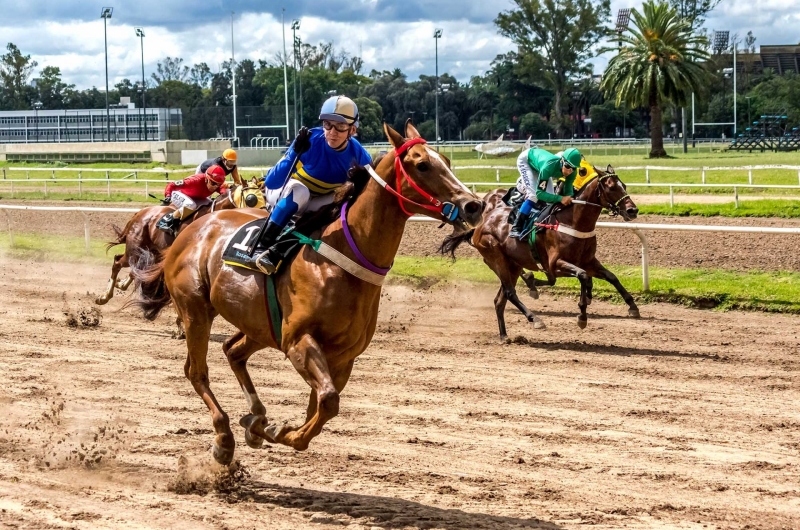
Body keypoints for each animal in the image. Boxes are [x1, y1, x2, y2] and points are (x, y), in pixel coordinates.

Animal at [129, 120, 484, 462]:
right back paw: (224, 437)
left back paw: (256, 416)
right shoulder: (299, 341)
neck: (343, 257)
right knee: (196, 371)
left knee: (232, 351)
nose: (473, 205)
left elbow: (322, 407)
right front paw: (275, 430)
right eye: (422, 165)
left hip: (260, 325)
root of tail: (190, 230)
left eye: (447, 160)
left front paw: (270, 429)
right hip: (196, 310)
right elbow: (327, 401)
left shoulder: (342, 357)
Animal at [440, 165, 640, 338]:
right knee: (510, 293)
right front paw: (582, 316)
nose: (633, 210)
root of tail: (480, 226)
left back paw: (504, 335)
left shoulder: (588, 261)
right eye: (611, 187)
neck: (572, 222)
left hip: (512, 264)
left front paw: (632, 306)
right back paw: (535, 318)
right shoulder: (555, 265)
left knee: (500, 299)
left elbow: (611, 277)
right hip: (497, 259)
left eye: (624, 185)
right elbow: (582, 275)